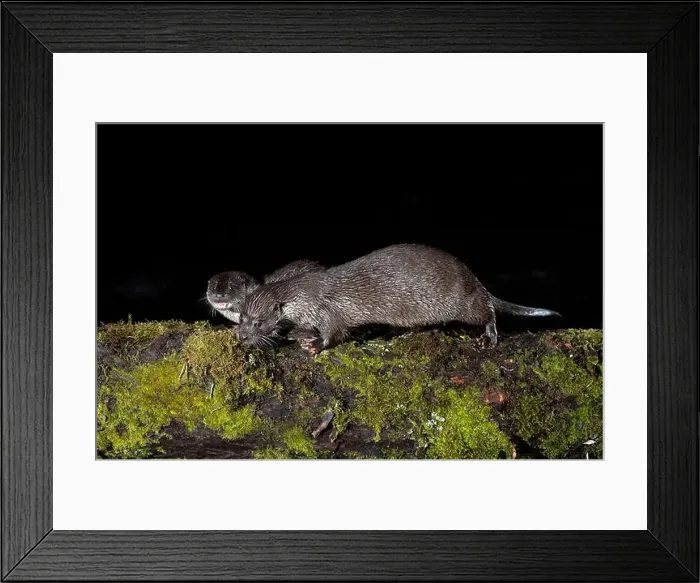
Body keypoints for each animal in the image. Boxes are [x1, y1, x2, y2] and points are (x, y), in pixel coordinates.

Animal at [236, 243, 561, 353]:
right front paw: (294, 334)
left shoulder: (326, 308)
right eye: (242, 318)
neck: (303, 295)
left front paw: (316, 344)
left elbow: (336, 332)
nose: (242, 337)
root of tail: (472, 277)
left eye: (259, 322)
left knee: (487, 310)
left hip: (463, 299)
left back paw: (489, 336)